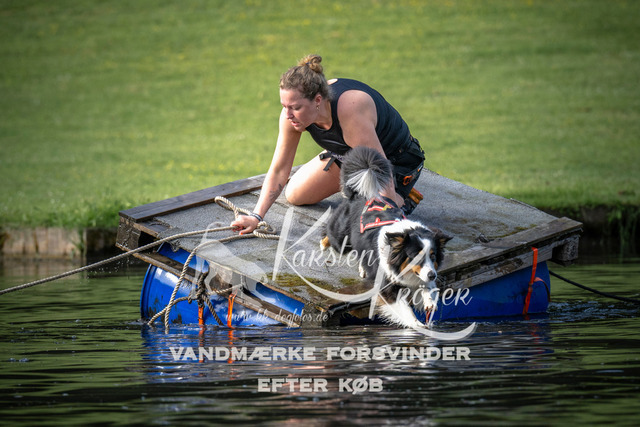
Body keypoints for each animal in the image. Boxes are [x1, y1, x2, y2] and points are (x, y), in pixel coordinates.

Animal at [320, 146, 452, 328]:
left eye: (433, 256)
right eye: (415, 256)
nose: (433, 275)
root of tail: (360, 194)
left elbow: (427, 288)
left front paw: (429, 303)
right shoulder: (387, 286)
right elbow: (405, 310)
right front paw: (416, 325)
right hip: (341, 240)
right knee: (331, 233)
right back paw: (323, 244)